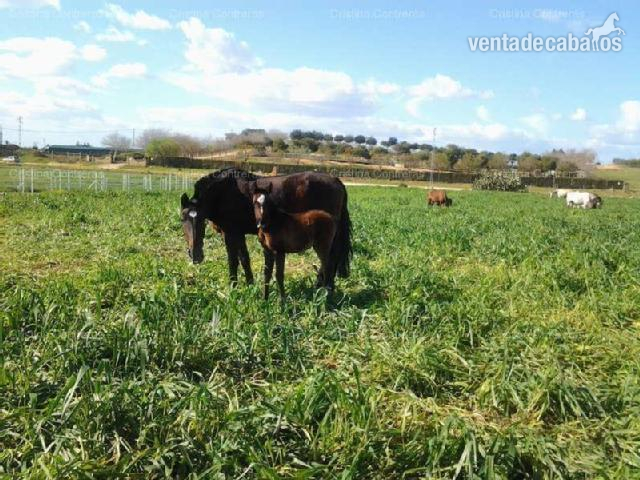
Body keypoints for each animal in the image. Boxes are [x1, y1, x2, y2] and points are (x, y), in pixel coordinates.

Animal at [180, 168, 351, 287]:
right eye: (182, 219)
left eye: (201, 219)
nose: (195, 256)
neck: (223, 193)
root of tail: (337, 181)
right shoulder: (238, 233)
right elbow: (244, 259)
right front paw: (250, 284)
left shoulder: (229, 234)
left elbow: (233, 261)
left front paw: (233, 287)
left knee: (330, 257)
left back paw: (322, 286)